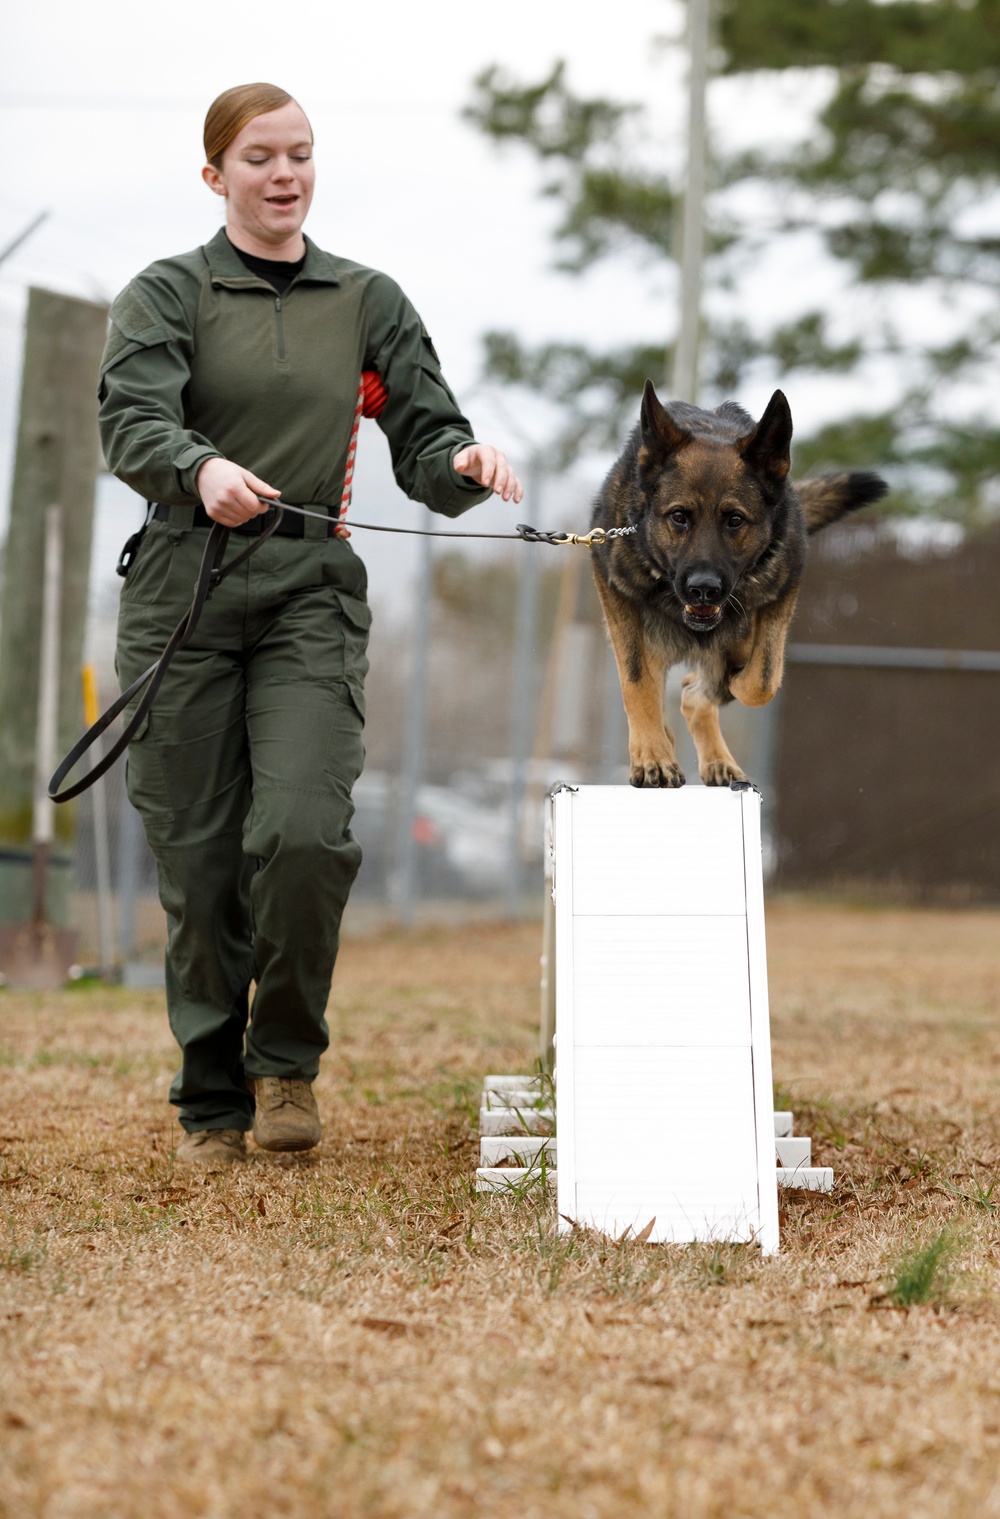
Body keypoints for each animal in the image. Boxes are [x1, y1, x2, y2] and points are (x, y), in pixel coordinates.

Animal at [586, 379, 881, 789]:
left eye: (735, 520)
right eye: (679, 517)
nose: (703, 589)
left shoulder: (783, 592)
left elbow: (761, 681)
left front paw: (736, 672)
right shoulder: (615, 592)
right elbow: (636, 681)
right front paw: (652, 755)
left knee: (696, 693)